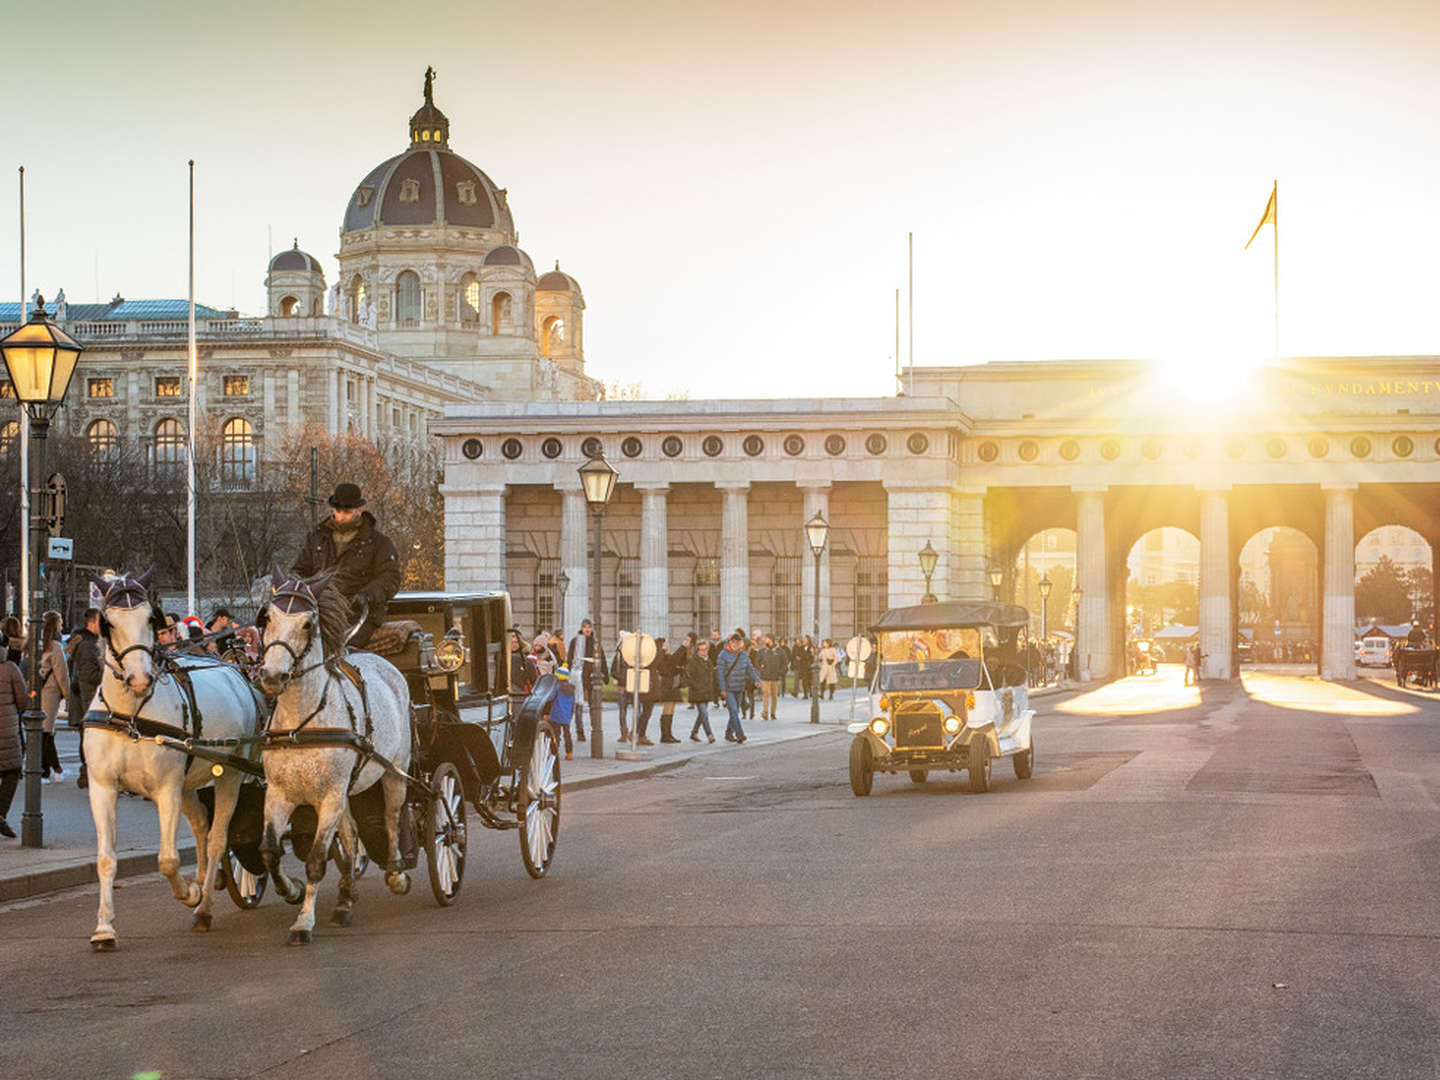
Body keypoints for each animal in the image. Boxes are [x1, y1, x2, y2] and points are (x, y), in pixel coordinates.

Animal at [84, 570, 266, 950]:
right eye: (108, 623)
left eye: (150, 619)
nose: (140, 679)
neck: (131, 717)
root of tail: (236, 671)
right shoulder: (102, 787)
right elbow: (106, 859)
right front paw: (104, 928)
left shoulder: (166, 787)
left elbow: (167, 860)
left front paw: (190, 893)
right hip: (190, 780)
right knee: (201, 827)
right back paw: (206, 880)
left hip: (229, 775)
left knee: (217, 838)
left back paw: (205, 907)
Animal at [252, 570, 411, 944]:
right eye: (267, 617)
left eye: (308, 623)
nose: (272, 676)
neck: (301, 723)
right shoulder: (278, 794)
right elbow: (269, 852)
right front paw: (292, 889)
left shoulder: (329, 796)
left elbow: (315, 860)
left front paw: (303, 922)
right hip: (346, 792)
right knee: (351, 837)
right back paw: (345, 899)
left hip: (395, 771)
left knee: (392, 818)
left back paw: (396, 874)